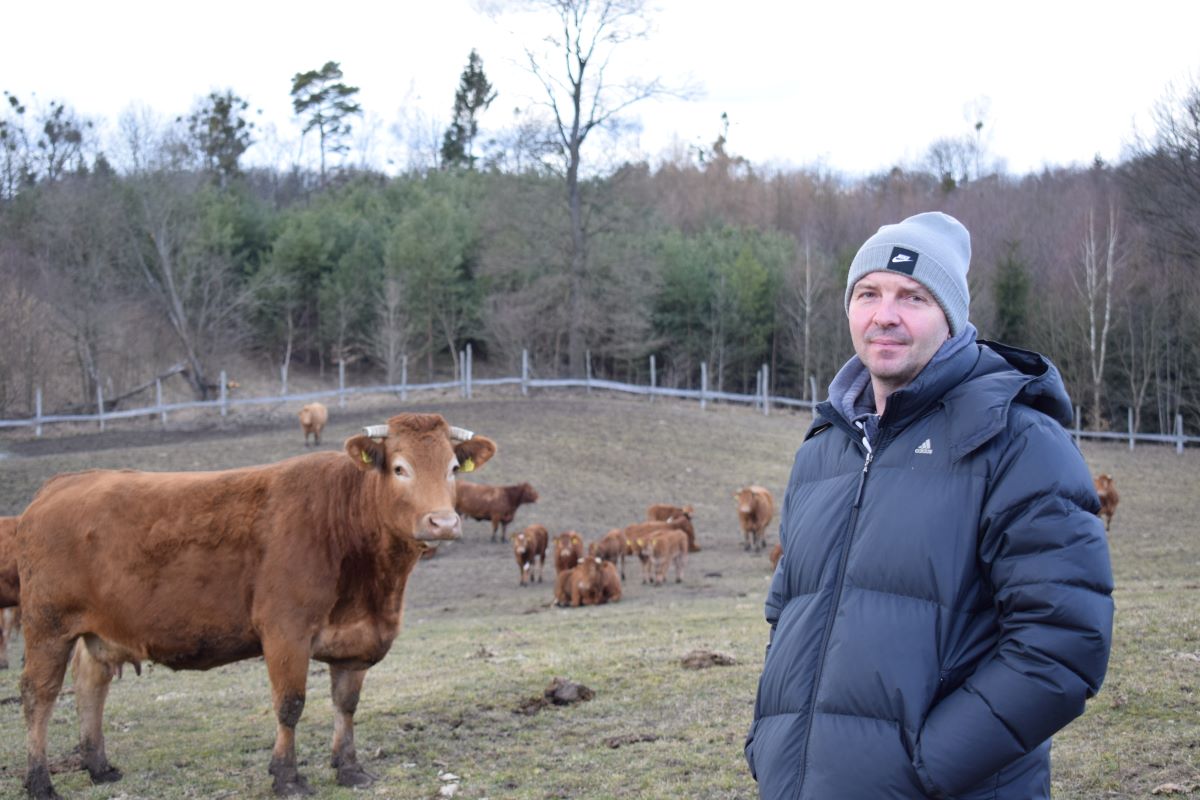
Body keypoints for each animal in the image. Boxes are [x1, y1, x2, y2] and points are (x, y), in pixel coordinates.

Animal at [15, 417, 492, 796]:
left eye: (452, 467)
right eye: (399, 468)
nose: (443, 522)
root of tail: (62, 483)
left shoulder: (356, 640)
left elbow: (346, 705)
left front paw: (350, 768)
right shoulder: (285, 631)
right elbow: (291, 704)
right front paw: (287, 777)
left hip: (97, 629)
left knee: (90, 685)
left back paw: (98, 767)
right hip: (46, 626)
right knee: (39, 696)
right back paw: (40, 781)